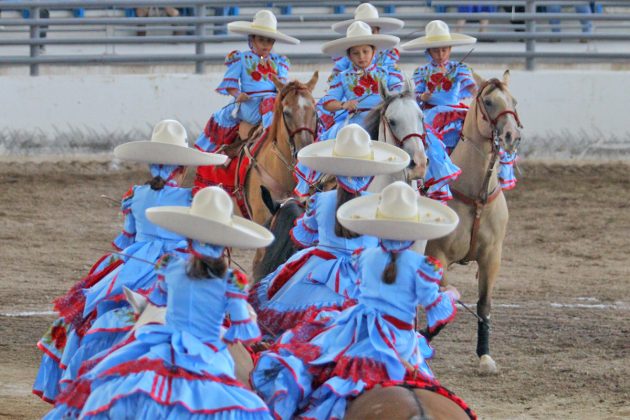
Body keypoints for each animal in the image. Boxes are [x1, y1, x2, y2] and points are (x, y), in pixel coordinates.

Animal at [428, 70, 524, 376]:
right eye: (489, 102)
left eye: (514, 101)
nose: (512, 136)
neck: (474, 196)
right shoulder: (437, 256)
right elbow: (445, 301)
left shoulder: (492, 258)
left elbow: (483, 305)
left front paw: (485, 357)